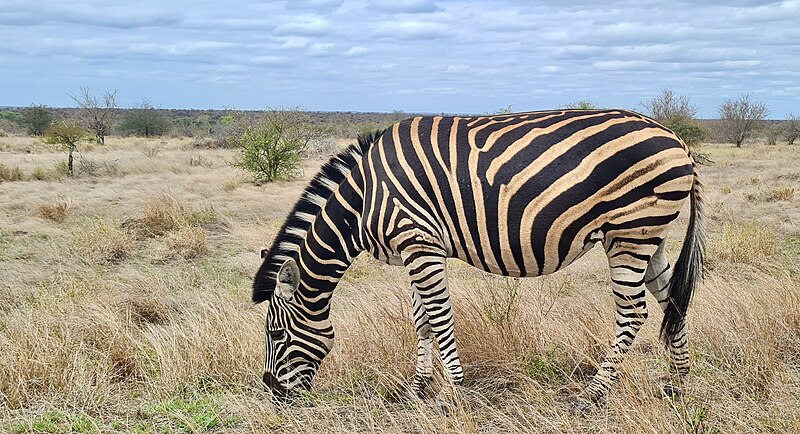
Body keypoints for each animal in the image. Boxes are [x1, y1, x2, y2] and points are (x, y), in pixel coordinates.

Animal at [253, 109, 704, 406]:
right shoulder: (415, 248)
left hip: (629, 232)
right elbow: (421, 320)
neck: (363, 201)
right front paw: (416, 390)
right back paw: (678, 383)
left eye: (275, 334)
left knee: (634, 313)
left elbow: (439, 318)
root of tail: (676, 138)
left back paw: (594, 394)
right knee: (672, 300)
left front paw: (453, 393)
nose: (273, 393)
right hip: (651, 235)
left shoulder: (419, 243)